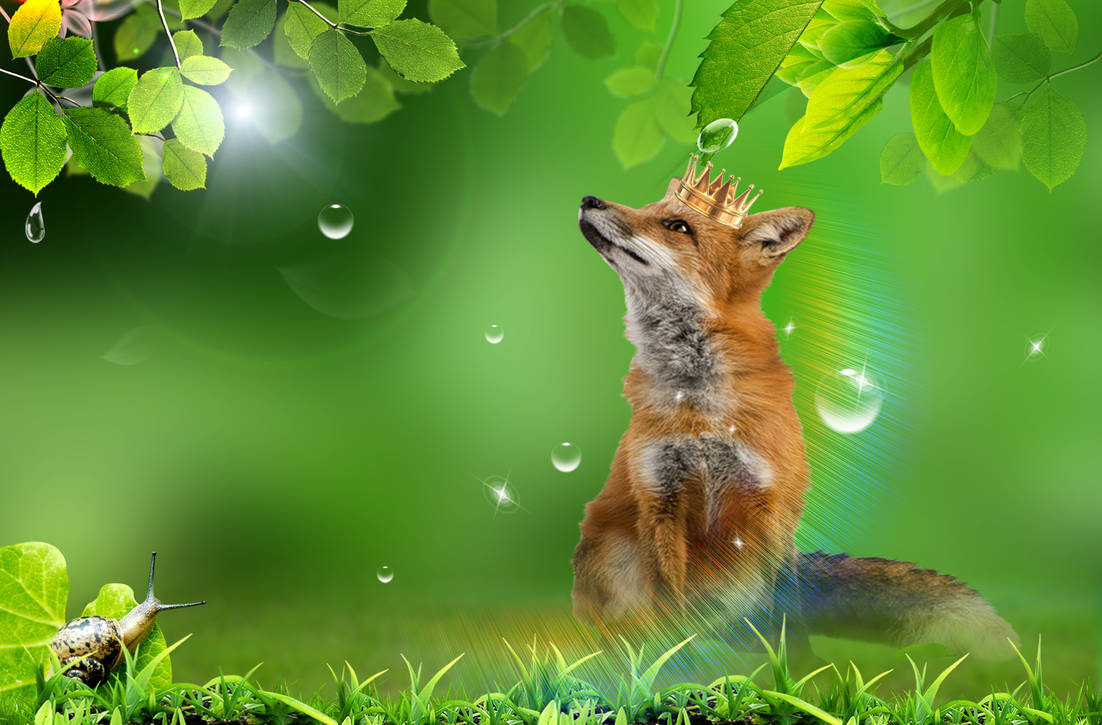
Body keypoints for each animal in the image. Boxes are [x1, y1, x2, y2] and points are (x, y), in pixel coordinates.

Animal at [571, 156, 1017, 657]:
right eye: (649, 206)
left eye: (676, 225)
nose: (589, 199)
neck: (702, 408)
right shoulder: (660, 498)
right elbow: (670, 603)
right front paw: (676, 658)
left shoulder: (767, 502)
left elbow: (780, 609)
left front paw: (795, 666)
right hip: (612, 552)